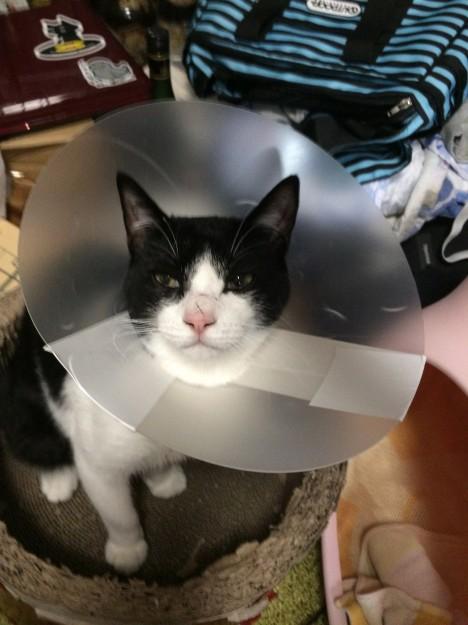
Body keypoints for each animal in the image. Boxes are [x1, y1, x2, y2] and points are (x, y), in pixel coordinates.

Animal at [1, 173, 299, 574]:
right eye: (166, 279)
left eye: (241, 279)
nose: (199, 318)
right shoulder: (96, 457)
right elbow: (117, 510)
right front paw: (127, 553)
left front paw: (163, 477)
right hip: (22, 402)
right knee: (34, 440)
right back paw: (58, 479)